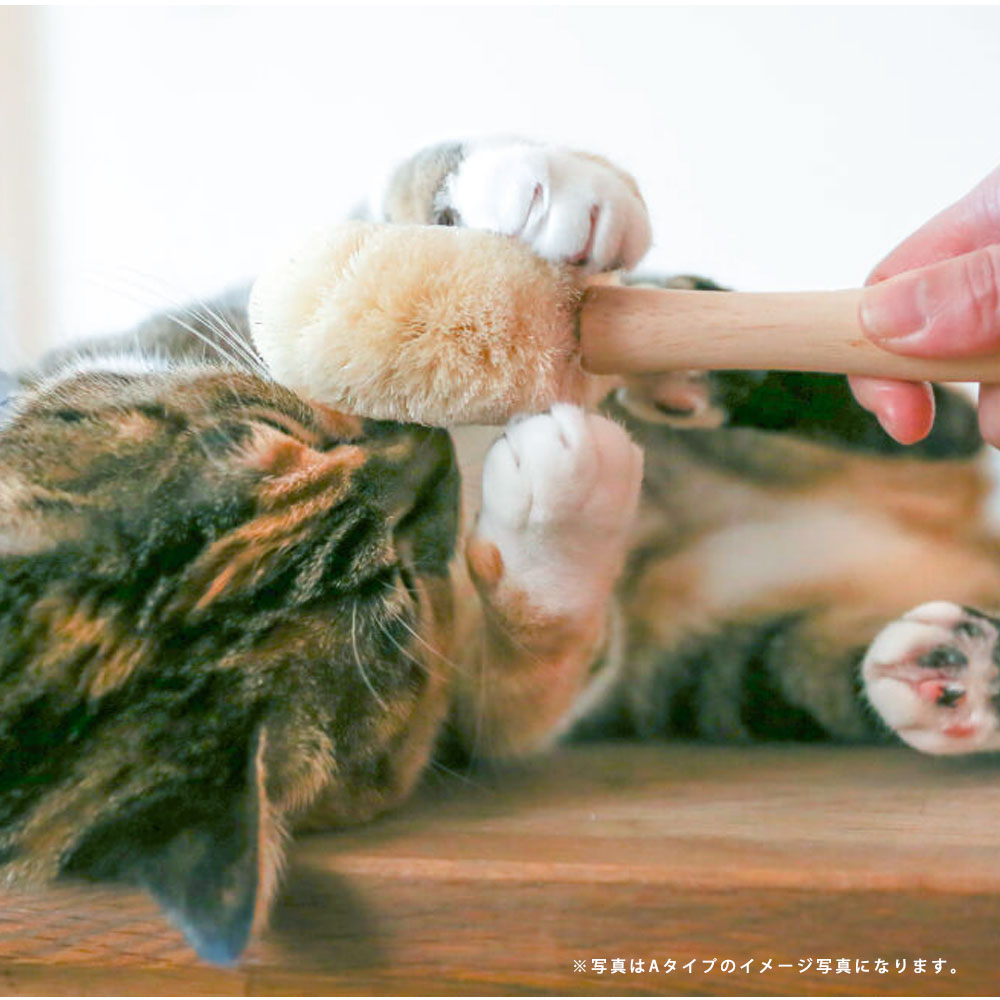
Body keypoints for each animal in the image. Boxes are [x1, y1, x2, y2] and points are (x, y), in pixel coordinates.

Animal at [0, 137, 996, 964]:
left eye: (269, 430)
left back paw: (700, 362)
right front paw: (565, 500)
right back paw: (953, 674)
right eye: (394, 615)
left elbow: (387, 202)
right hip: (726, 669)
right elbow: (535, 664)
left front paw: (547, 196)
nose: (420, 448)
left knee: (899, 409)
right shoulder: (472, 716)